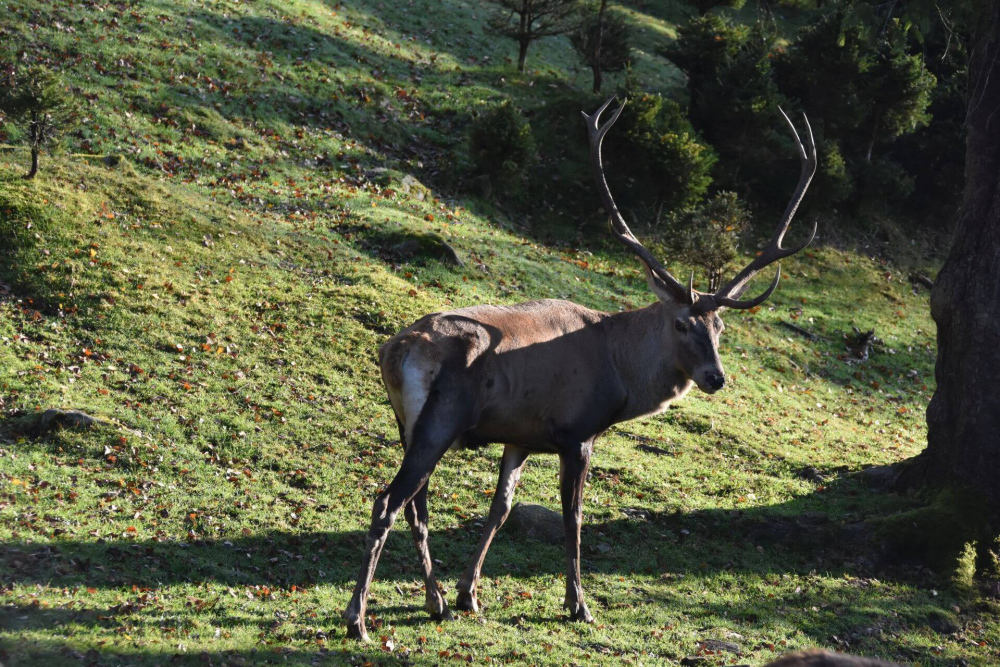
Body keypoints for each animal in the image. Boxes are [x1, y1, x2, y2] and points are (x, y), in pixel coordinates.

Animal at [342, 95, 812, 640]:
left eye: (720, 328)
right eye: (680, 323)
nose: (716, 377)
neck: (621, 377)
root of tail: (393, 352)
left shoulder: (520, 436)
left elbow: (500, 509)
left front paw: (469, 594)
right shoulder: (576, 432)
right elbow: (574, 518)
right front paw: (578, 603)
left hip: (408, 424)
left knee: (417, 506)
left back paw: (435, 601)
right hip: (439, 421)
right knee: (387, 501)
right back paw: (358, 620)